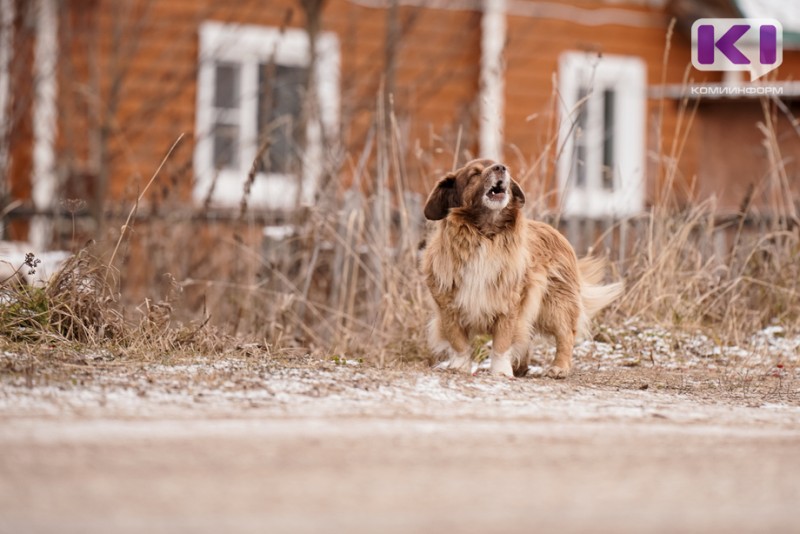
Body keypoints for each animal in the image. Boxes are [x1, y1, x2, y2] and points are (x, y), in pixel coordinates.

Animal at [422, 159, 620, 382]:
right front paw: (459, 367)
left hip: (556, 305)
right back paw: (520, 367)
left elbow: (502, 343)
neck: (485, 236)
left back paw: (559, 368)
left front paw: (500, 371)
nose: (501, 167)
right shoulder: (448, 307)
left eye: (496, 165)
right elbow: (458, 342)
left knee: (565, 336)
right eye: (474, 174)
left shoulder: (509, 305)